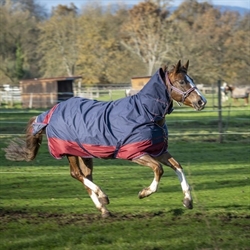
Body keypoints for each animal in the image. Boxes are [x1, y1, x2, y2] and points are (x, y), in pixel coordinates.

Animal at [3, 60, 207, 217]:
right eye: (181, 81)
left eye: (191, 80)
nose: (201, 101)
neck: (146, 113)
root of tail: (50, 112)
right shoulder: (135, 153)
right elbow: (159, 169)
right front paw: (144, 193)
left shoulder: (158, 151)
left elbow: (178, 167)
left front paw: (187, 201)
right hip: (70, 152)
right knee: (77, 174)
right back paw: (103, 196)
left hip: (84, 154)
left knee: (85, 176)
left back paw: (103, 209)